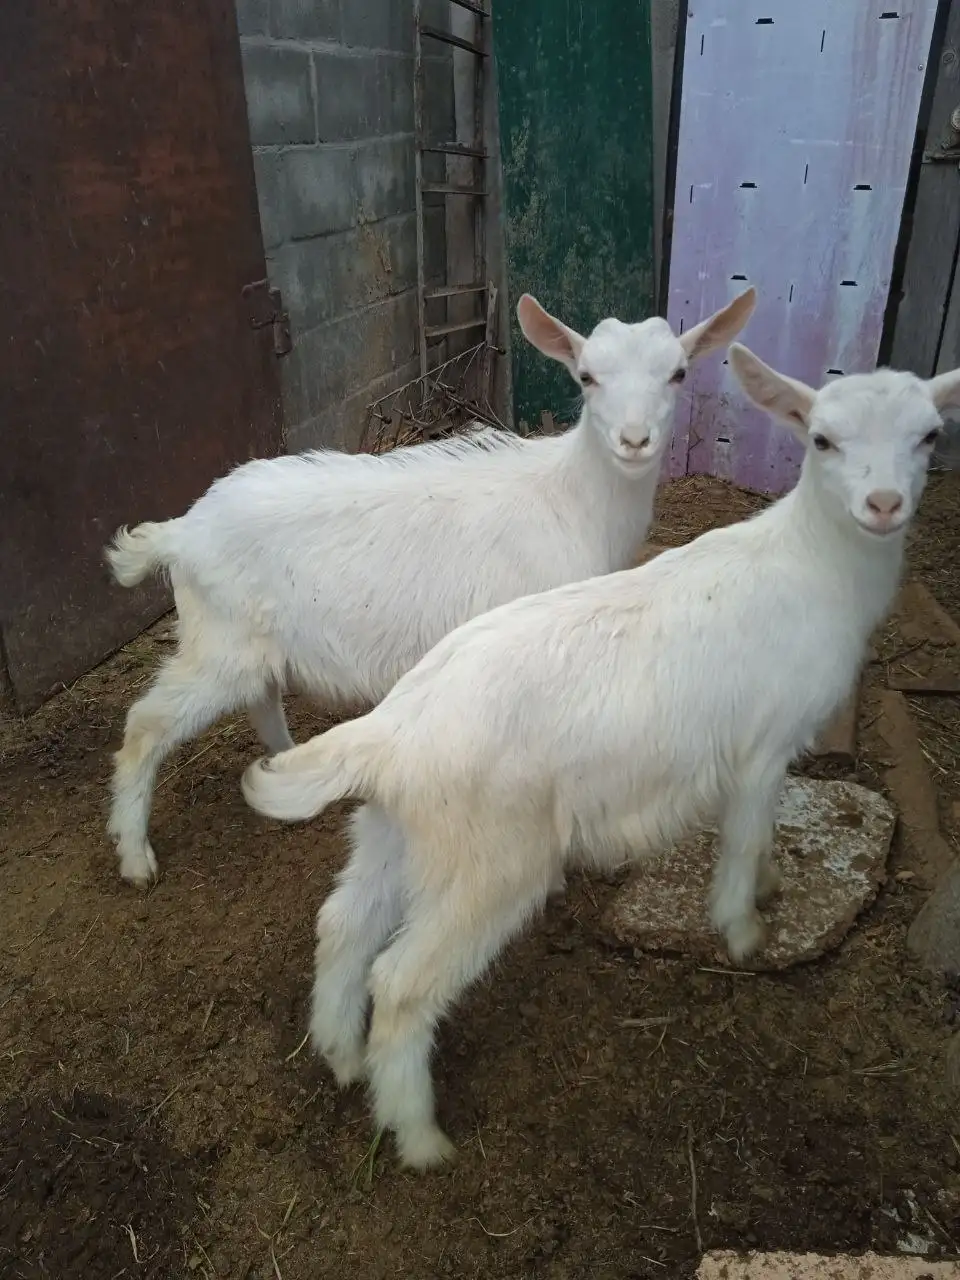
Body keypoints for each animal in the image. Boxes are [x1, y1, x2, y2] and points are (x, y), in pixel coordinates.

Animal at [105, 289, 755, 885]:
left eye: (678, 372)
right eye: (587, 376)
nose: (635, 440)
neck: (571, 498)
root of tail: (180, 533)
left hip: (248, 642)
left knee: (260, 696)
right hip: (217, 643)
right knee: (146, 725)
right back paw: (136, 859)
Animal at [241, 348, 960, 1170]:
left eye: (930, 435)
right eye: (822, 440)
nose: (883, 504)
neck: (810, 570)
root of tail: (390, 732)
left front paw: (773, 887)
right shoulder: (762, 744)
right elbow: (746, 836)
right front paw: (745, 930)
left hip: (402, 830)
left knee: (343, 922)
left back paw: (340, 1056)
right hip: (493, 859)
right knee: (401, 981)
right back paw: (420, 1137)